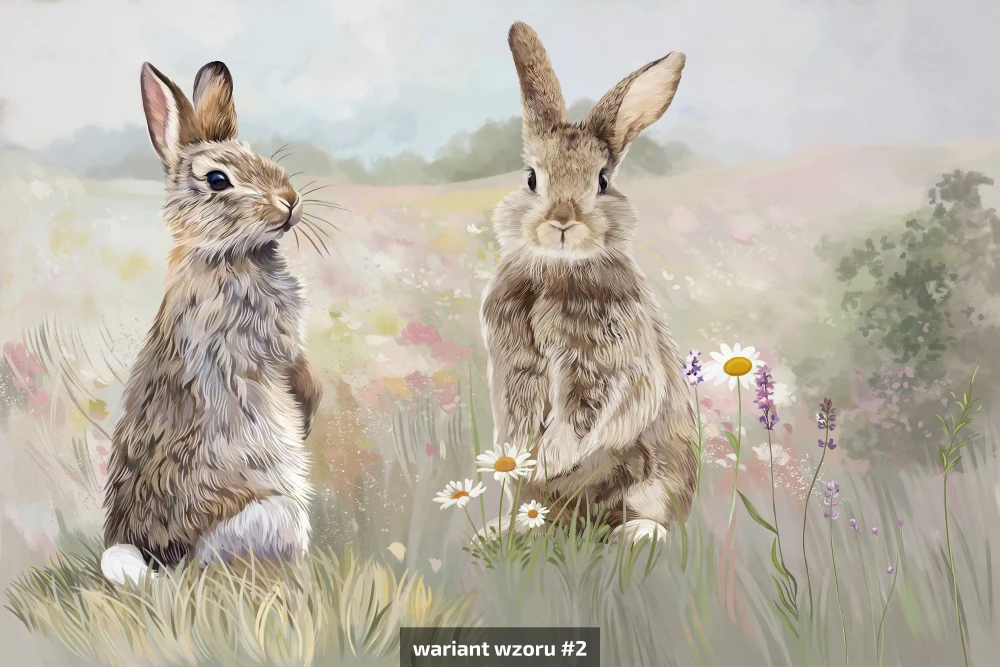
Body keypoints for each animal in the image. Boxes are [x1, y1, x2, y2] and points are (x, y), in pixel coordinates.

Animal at [100, 61, 323, 585]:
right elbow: (302, 378)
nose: (290, 201)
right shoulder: (273, 345)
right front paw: (306, 417)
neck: (226, 254)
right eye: (218, 179)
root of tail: (163, 559)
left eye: (260, 156)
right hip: (275, 515)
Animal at [478, 22, 698, 545]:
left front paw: (549, 458)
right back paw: (508, 529)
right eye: (531, 178)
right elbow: (520, 411)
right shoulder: (516, 364)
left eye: (601, 181)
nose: (562, 221)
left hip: (652, 481)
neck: (558, 269)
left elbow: (584, 415)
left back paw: (635, 534)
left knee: (650, 518)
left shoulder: (601, 364)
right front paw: (522, 458)